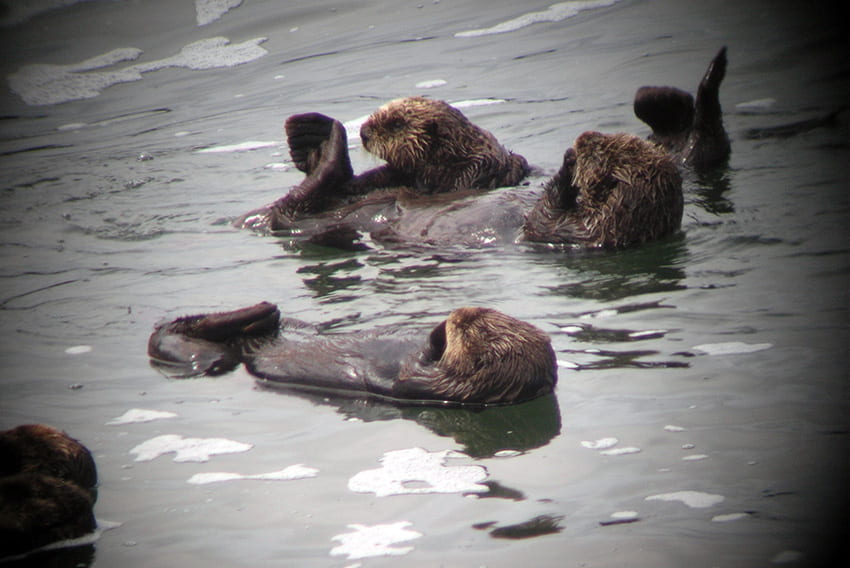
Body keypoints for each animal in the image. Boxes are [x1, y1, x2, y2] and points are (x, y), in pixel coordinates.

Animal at [148, 302, 557, 406]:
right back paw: (265, 311)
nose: (458, 314)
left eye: (472, 330)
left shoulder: (429, 385)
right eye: (482, 314)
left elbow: (410, 372)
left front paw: (437, 334)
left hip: (203, 353)